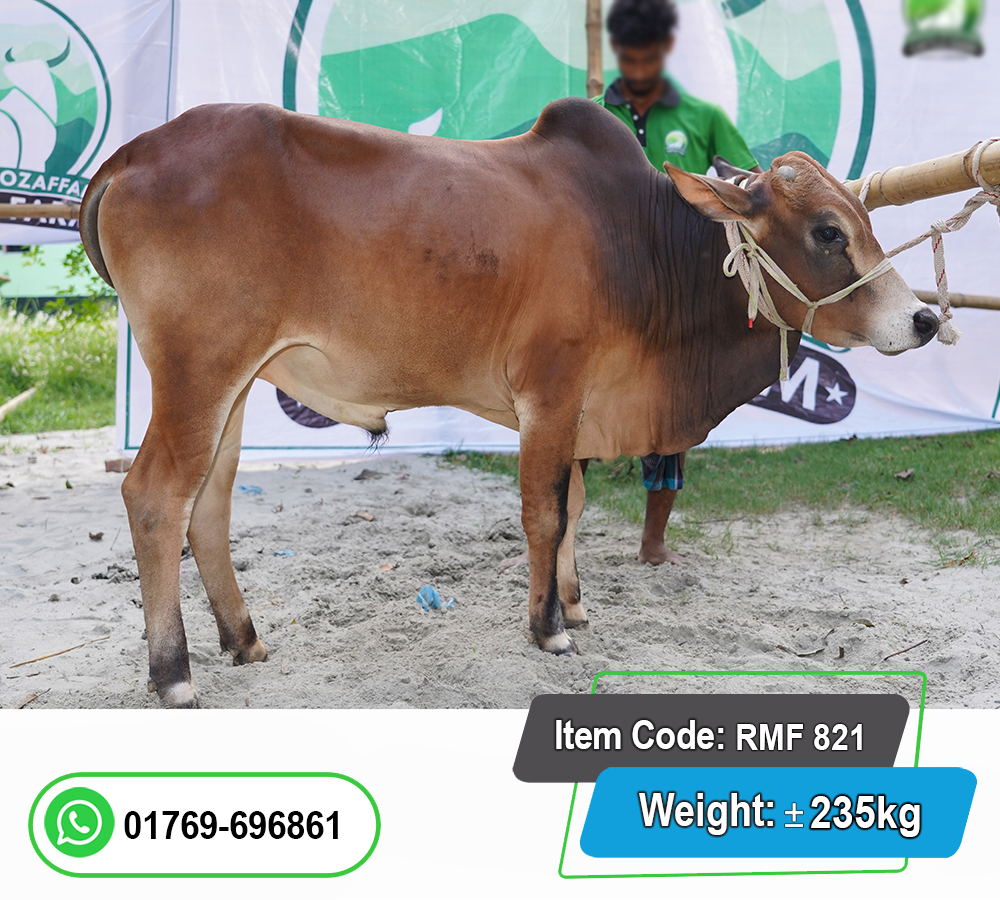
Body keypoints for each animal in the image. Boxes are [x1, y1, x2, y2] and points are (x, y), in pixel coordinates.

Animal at [80, 97, 939, 708]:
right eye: (828, 232)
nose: (924, 319)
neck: (644, 245)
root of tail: (133, 153)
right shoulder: (549, 395)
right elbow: (546, 511)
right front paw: (549, 630)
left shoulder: (580, 409)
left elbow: (577, 504)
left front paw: (575, 605)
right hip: (198, 374)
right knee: (156, 496)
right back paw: (173, 673)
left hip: (229, 388)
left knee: (210, 506)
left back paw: (245, 640)